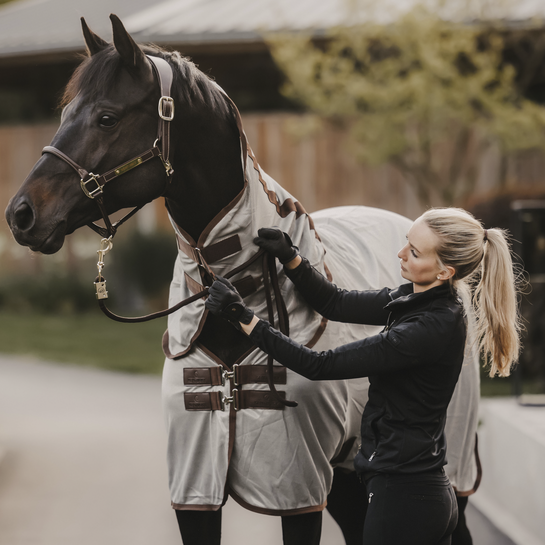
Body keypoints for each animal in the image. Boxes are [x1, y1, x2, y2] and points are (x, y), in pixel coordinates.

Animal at [6, 14, 410, 544]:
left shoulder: (298, 488)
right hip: (346, 471)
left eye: (107, 118)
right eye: (65, 113)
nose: (21, 214)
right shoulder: (195, 486)